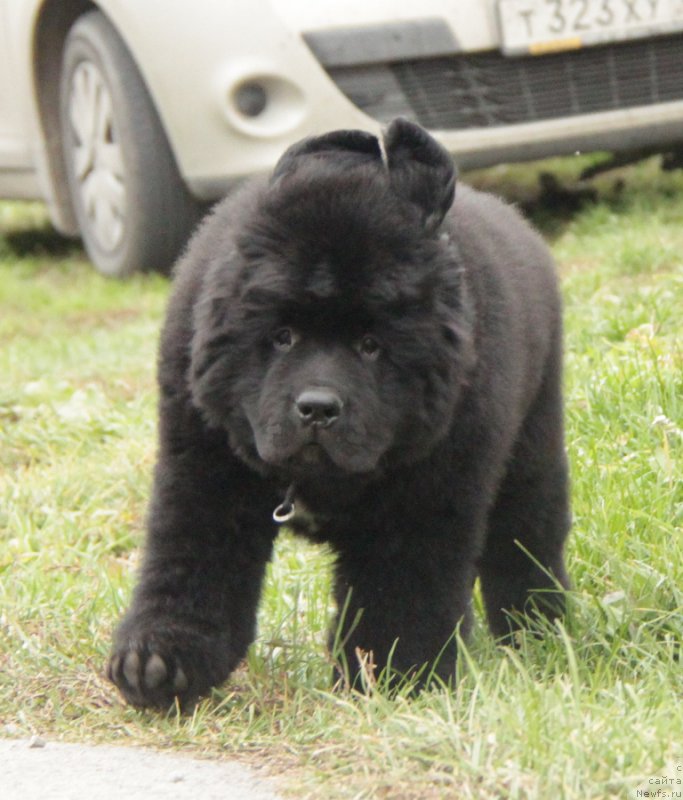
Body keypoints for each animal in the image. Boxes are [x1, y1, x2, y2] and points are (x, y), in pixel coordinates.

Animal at [108, 117, 572, 708]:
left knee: (526, 540)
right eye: (282, 336)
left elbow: (398, 598)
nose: (317, 408)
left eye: (371, 346)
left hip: (532, 445)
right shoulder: (205, 468)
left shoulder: (424, 499)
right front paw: (158, 663)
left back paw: (539, 633)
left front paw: (394, 682)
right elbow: (191, 565)